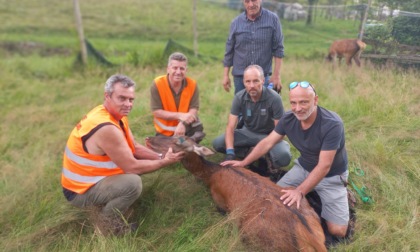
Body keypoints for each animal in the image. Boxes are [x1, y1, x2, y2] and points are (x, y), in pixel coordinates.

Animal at [146, 133, 326, 251]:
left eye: (179, 140)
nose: (148, 138)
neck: (210, 175)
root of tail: (311, 238)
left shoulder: (219, 202)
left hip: (255, 234)